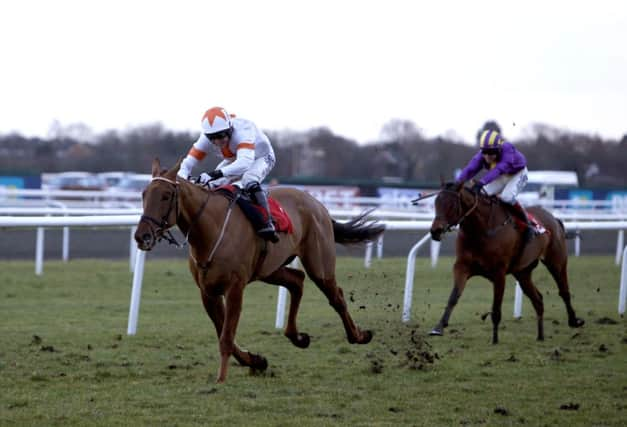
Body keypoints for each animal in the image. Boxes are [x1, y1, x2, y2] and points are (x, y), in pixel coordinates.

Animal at [135, 158, 386, 384]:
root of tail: (318, 204)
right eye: (144, 194)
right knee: (297, 281)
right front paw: (256, 361)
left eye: (166, 196)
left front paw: (221, 378)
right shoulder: (208, 291)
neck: (212, 230)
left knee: (336, 296)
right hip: (270, 269)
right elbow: (223, 331)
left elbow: (226, 336)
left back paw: (359, 335)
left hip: (319, 264)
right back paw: (297, 337)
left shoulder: (235, 287)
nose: (141, 236)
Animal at [430, 182, 588, 346]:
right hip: (523, 272)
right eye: (436, 202)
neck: (482, 230)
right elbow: (454, 296)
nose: (435, 231)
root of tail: (554, 218)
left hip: (556, 261)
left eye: (451, 204)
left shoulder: (499, 273)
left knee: (564, 291)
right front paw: (439, 327)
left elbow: (496, 308)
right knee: (538, 299)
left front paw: (495, 340)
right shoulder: (462, 267)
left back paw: (574, 321)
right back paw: (540, 336)